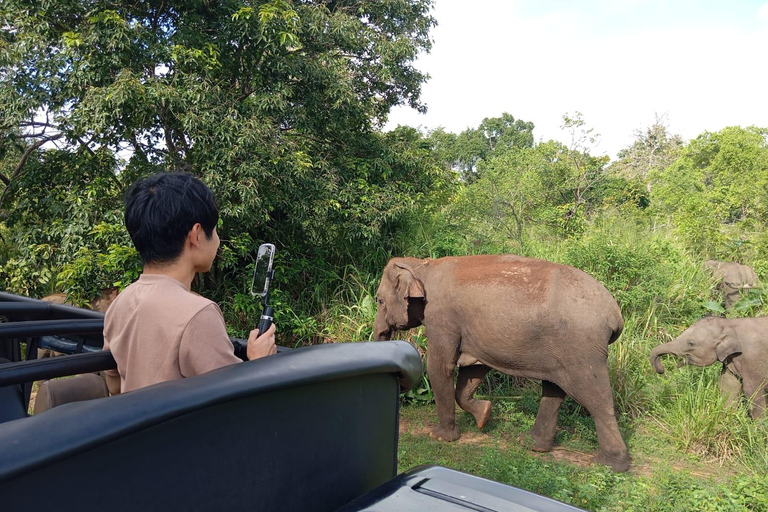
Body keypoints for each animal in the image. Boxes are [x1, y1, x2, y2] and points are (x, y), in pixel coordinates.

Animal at [374, 256, 632, 472]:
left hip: (581, 348)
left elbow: (441, 366)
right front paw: (484, 416)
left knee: (595, 397)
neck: (421, 265)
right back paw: (532, 444)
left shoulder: (441, 317)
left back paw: (609, 465)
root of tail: (615, 314)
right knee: (553, 390)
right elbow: (474, 370)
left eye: (379, 301)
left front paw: (440, 437)